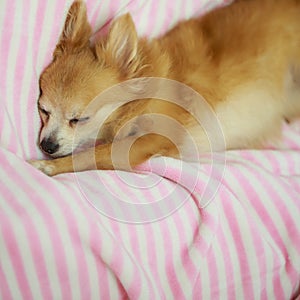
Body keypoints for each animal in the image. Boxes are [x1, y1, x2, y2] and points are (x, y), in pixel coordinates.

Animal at [29, 0, 300, 176]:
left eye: (79, 119)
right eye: (43, 110)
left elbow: (94, 154)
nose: (47, 146)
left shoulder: (152, 139)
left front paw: (48, 166)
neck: (141, 97)